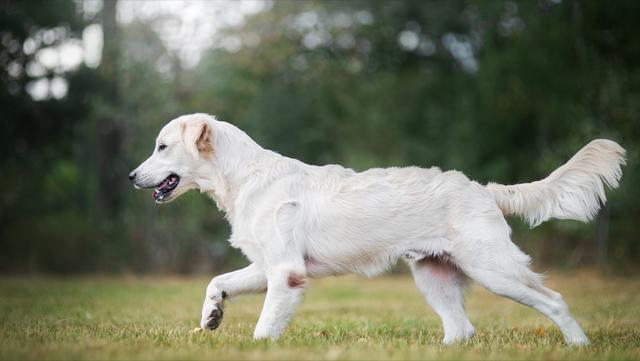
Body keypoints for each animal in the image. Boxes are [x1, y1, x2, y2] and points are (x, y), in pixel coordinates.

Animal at [129, 114, 624, 344]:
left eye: (162, 147)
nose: (132, 176)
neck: (246, 177)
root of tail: (483, 190)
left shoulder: (286, 273)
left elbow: (264, 328)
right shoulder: (267, 266)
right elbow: (217, 281)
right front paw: (211, 316)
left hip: (494, 268)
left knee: (554, 300)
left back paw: (578, 344)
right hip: (433, 275)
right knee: (462, 330)